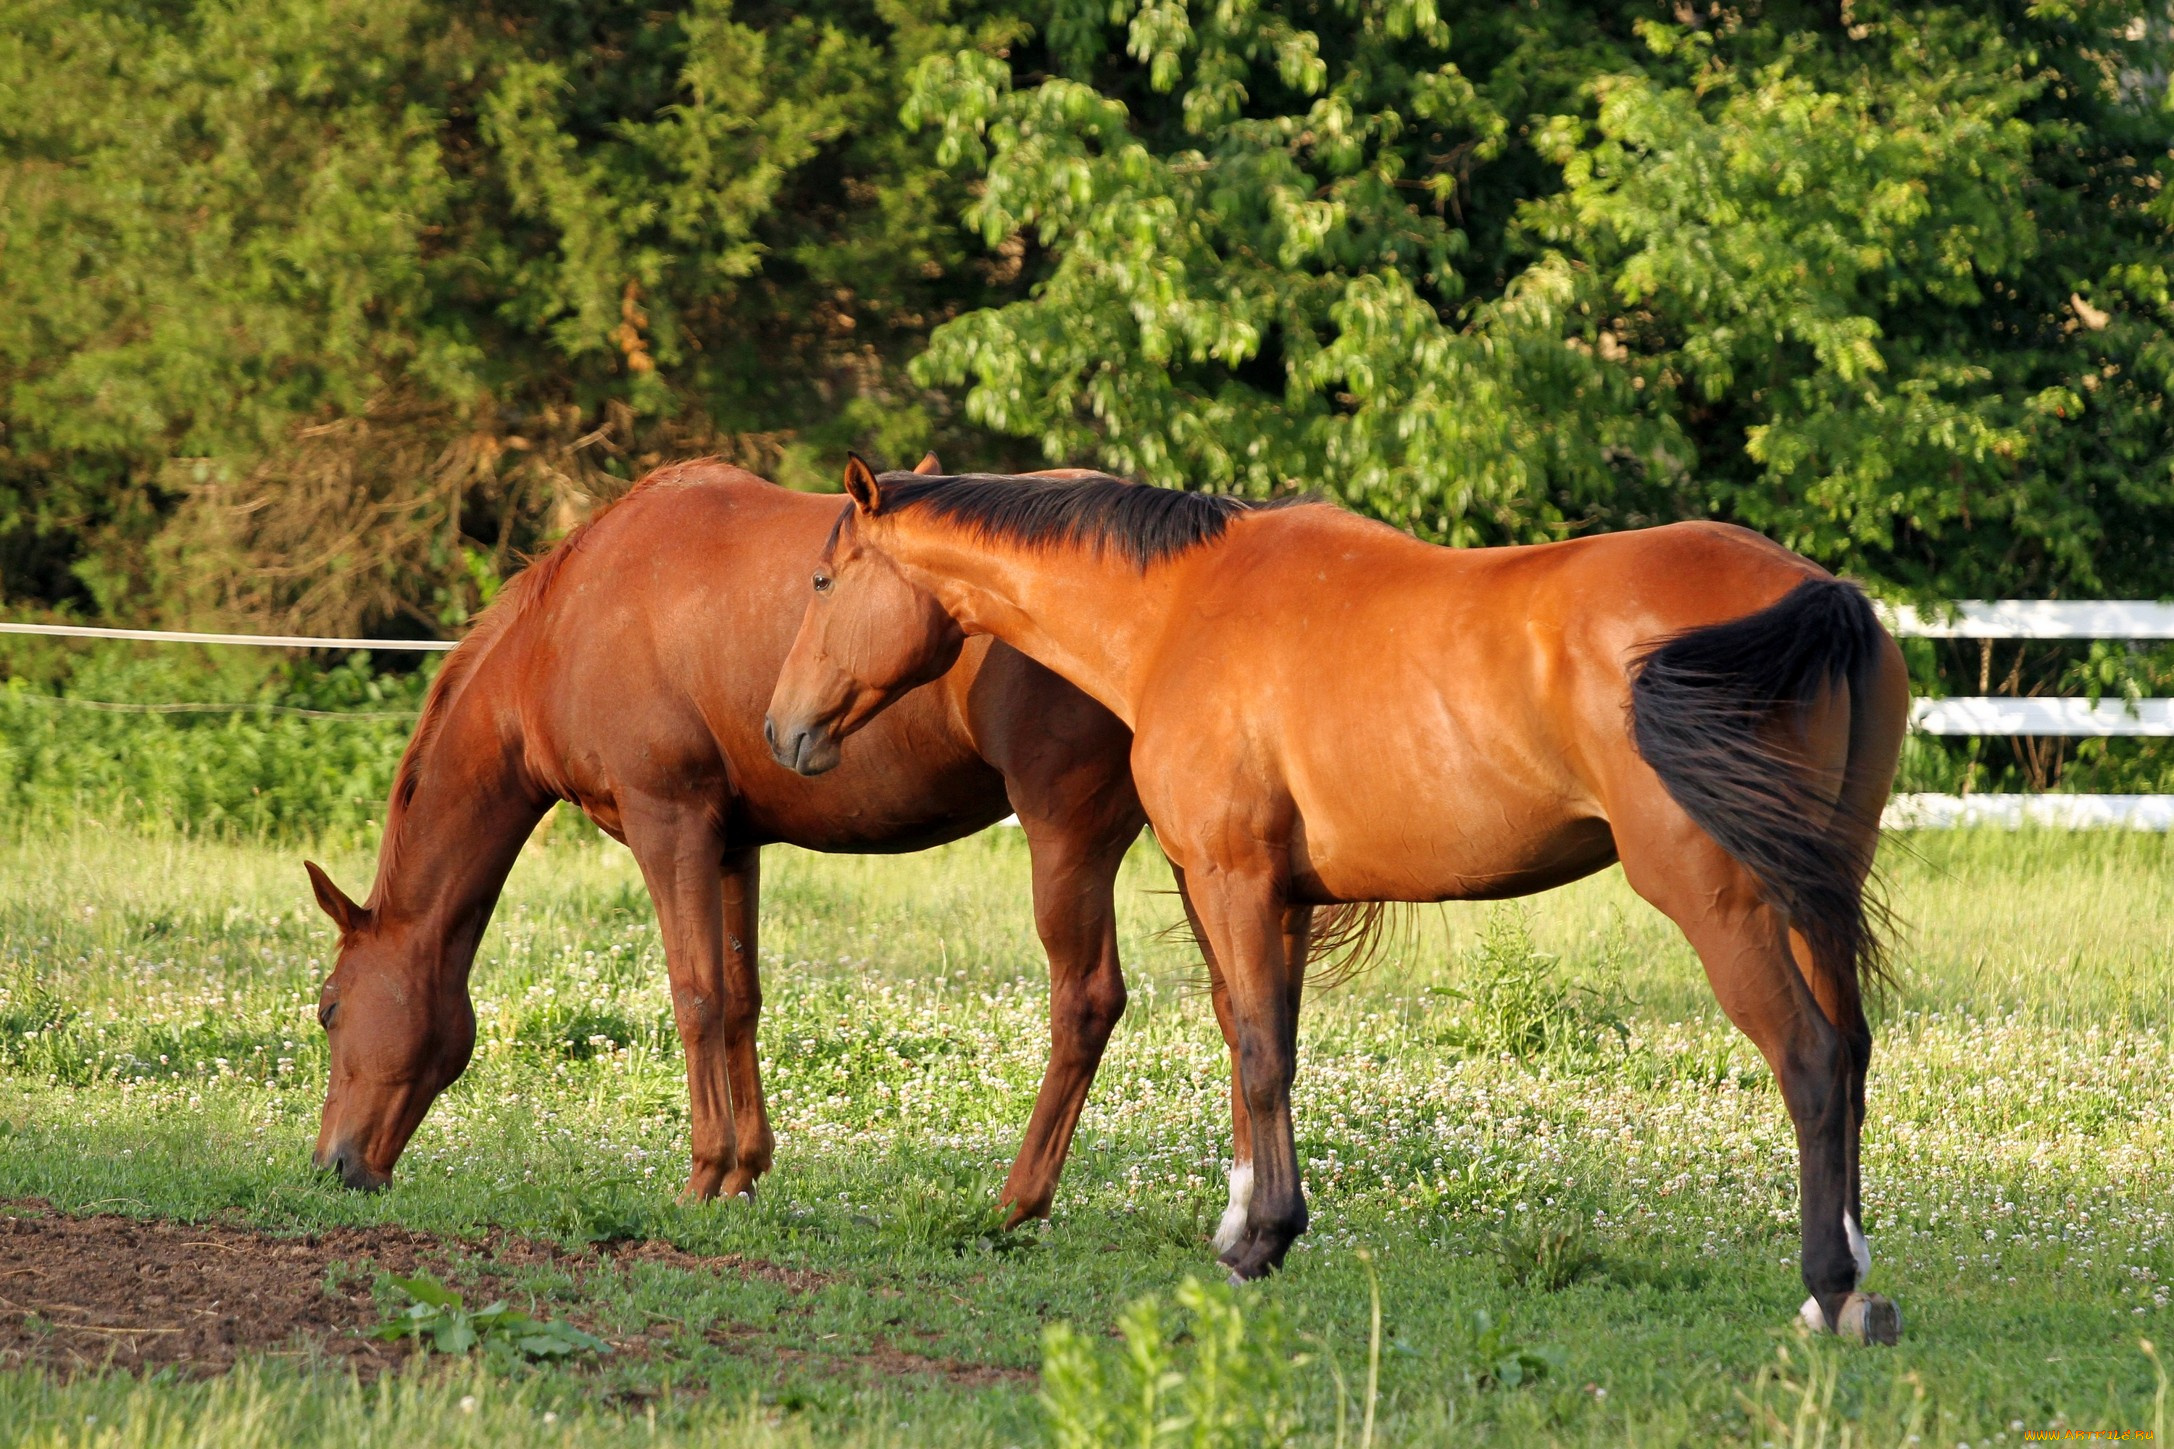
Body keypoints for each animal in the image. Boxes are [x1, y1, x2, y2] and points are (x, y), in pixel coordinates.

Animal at [308, 456, 1165, 1225]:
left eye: (328, 1007)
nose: (332, 1165)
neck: (567, 627)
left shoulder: (669, 824)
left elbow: (695, 996)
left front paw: (704, 1171)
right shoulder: (729, 844)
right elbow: (740, 998)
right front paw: (744, 1172)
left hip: (1067, 836)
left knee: (1085, 1002)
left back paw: (1020, 1202)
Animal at [765, 458, 1904, 1346]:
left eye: (822, 579)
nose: (781, 731)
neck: (1178, 608)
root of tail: (1819, 593)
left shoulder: (1232, 877)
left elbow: (1263, 1054)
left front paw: (1260, 1240)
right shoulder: (1272, 897)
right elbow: (1249, 1039)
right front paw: (1241, 1224)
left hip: (1723, 899)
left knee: (1808, 1060)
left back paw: (1827, 1287)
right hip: (1816, 893)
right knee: (1849, 1054)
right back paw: (1851, 1289)